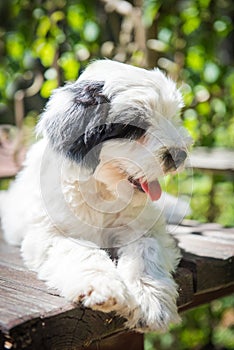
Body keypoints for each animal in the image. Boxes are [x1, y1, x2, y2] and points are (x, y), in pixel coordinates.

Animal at [0, 59, 192, 330]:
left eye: (172, 116)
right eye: (135, 127)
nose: (179, 155)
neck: (103, 190)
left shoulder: (146, 228)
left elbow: (146, 250)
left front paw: (151, 299)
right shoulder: (50, 234)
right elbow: (80, 251)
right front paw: (102, 286)